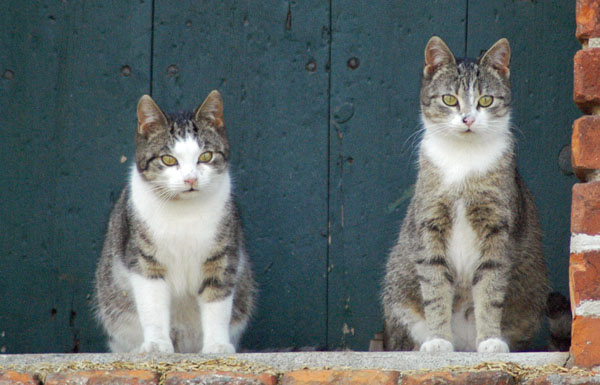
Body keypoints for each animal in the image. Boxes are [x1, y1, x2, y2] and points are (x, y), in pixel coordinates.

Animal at [94, 89, 255, 352]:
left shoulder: (222, 255)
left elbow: (217, 302)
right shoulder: (144, 258)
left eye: (206, 156)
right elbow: (152, 305)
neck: (184, 213)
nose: (190, 179)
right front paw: (157, 345)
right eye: (168, 160)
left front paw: (217, 346)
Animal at [382, 36, 552, 352]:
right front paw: (438, 340)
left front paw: (490, 340)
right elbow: (435, 289)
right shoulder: (430, 223)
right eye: (450, 99)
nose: (468, 120)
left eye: (486, 100)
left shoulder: (497, 226)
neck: (463, 159)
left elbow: (489, 290)